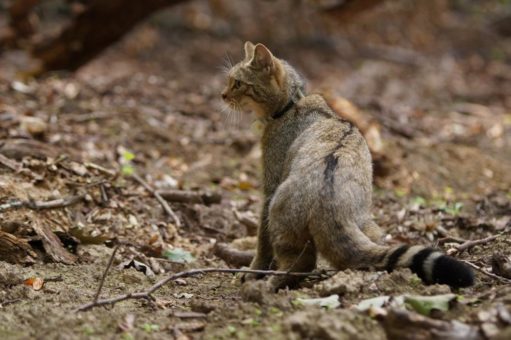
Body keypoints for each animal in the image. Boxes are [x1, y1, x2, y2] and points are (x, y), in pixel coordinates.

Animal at [222, 40, 474, 290]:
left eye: (238, 83)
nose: (222, 95)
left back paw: (270, 283)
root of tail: (331, 205)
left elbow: (262, 241)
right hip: (367, 224)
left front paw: (255, 270)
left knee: (302, 263)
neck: (293, 103)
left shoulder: (270, 186)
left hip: (279, 212)